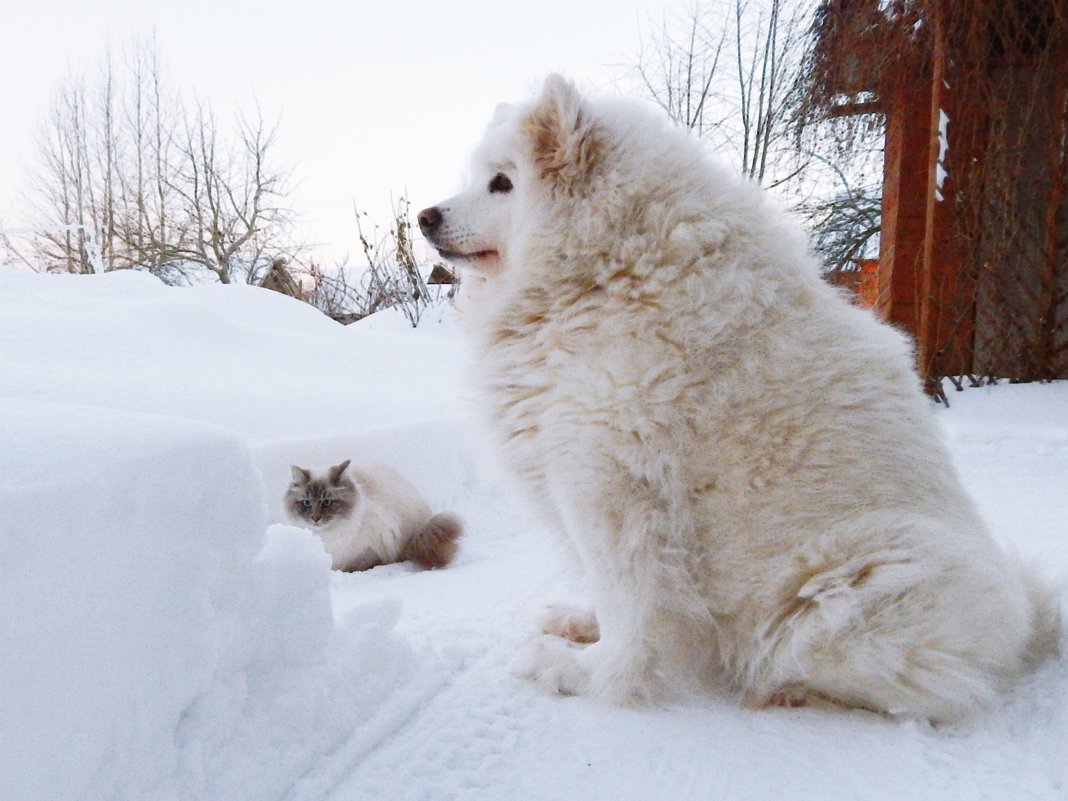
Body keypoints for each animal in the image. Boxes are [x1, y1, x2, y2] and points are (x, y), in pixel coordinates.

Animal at [284, 461, 463, 572]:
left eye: (327, 502)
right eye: (306, 503)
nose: (315, 518)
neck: (325, 535)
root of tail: (424, 525)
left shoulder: (367, 547)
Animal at [416, 78, 1059, 726]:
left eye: (503, 183)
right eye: (476, 178)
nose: (424, 216)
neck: (605, 273)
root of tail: (1027, 627)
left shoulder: (612, 487)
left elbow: (631, 609)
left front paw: (588, 676)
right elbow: (609, 596)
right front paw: (583, 627)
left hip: (849, 586)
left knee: (921, 687)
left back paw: (780, 689)